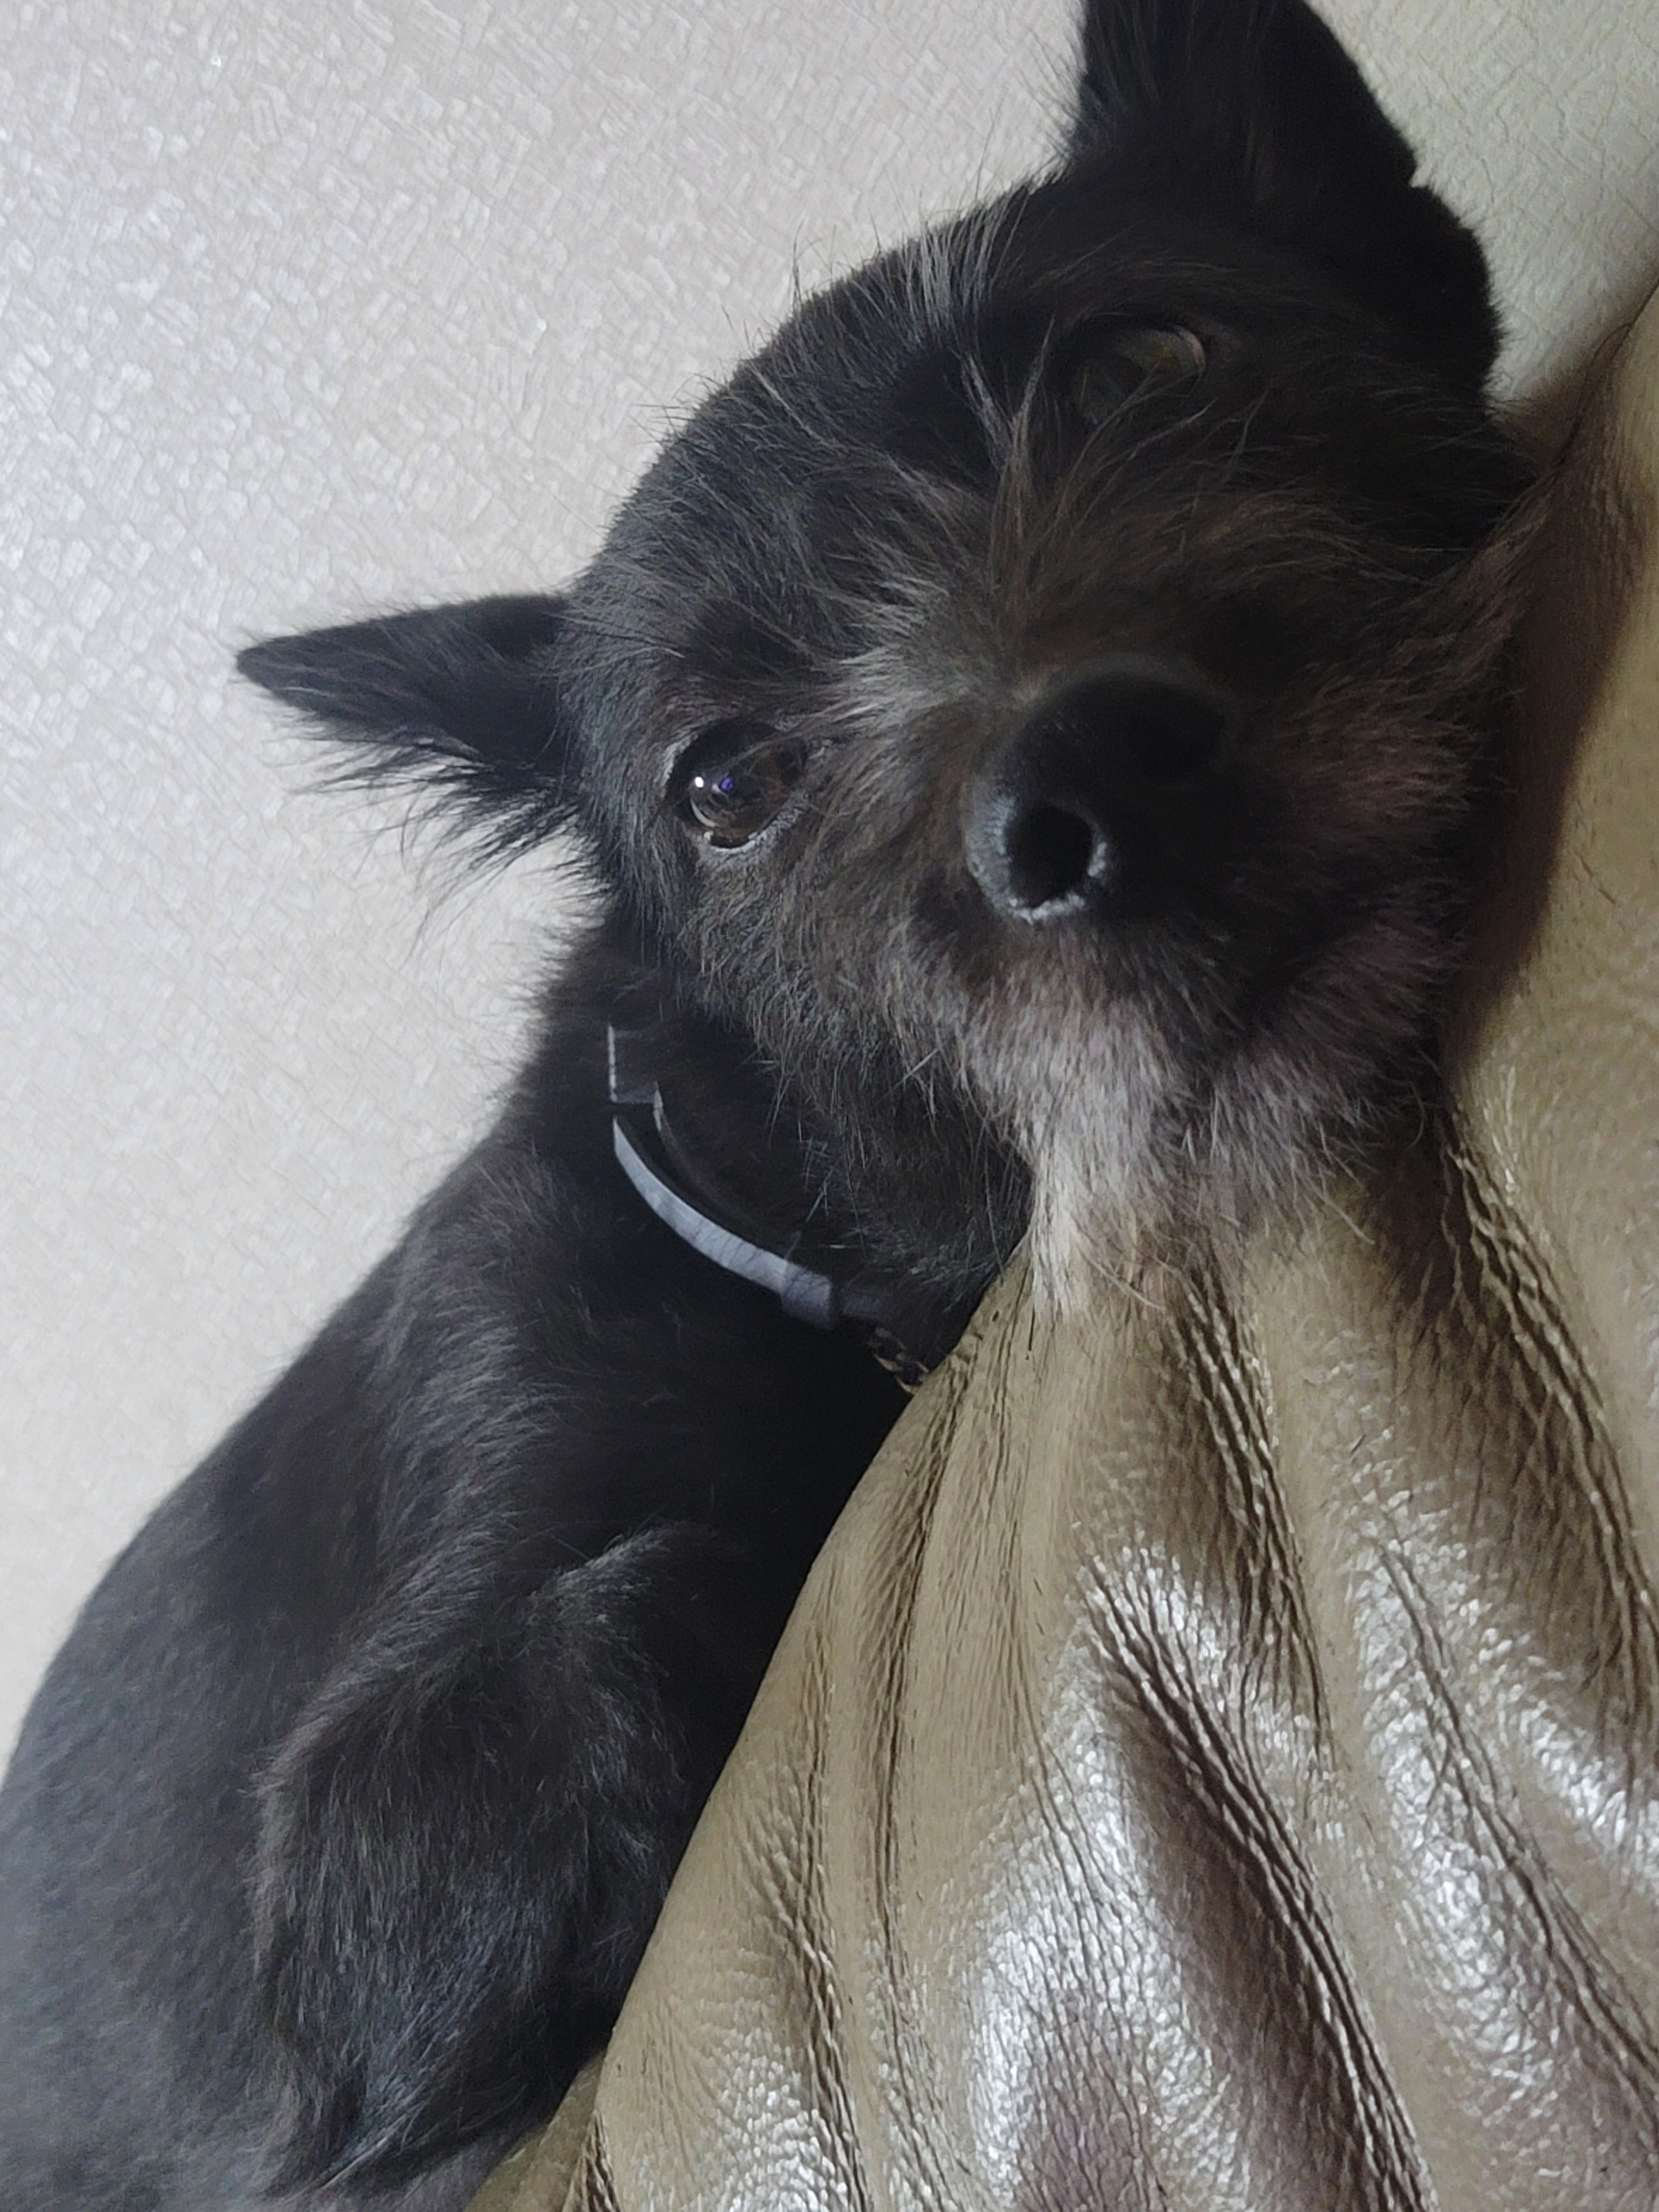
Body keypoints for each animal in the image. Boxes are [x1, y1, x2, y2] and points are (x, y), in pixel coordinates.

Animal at [0, 0, 1531, 2204]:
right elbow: (659, 1591)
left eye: (1139, 363)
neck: (768, 1221)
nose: (1085, 793)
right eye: (722, 783)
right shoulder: (348, 1883)